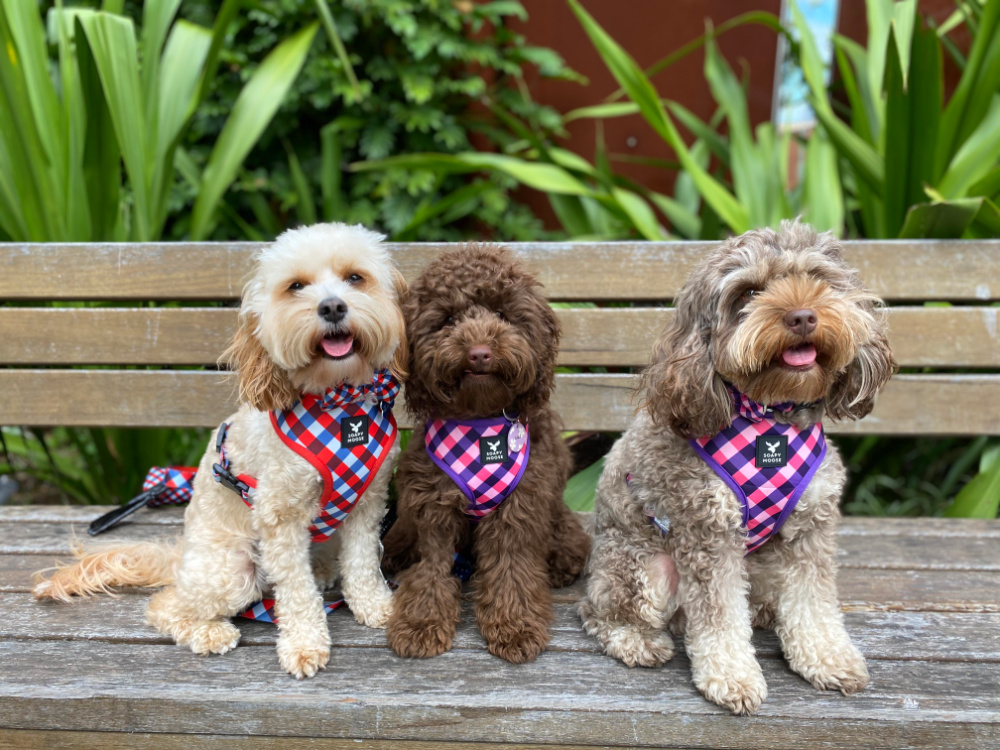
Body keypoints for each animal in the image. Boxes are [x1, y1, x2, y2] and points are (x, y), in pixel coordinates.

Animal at [380, 245, 584, 664]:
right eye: (447, 319)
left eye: (504, 314)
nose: (479, 354)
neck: (478, 422)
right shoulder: (433, 508)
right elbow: (432, 569)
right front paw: (422, 622)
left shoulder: (519, 509)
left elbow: (511, 570)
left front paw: (515, 626)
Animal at [580, 222, 900, 716]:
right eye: (749, 291)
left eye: (816, 278)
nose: (803, 317)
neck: (772, 419)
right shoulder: (708, 532)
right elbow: (719, 617)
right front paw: (732, 677)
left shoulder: (812, 525)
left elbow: (813, 603)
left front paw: (828, 658)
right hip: (643, 569)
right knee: (604, 613)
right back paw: (637, 641)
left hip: (763, 559)